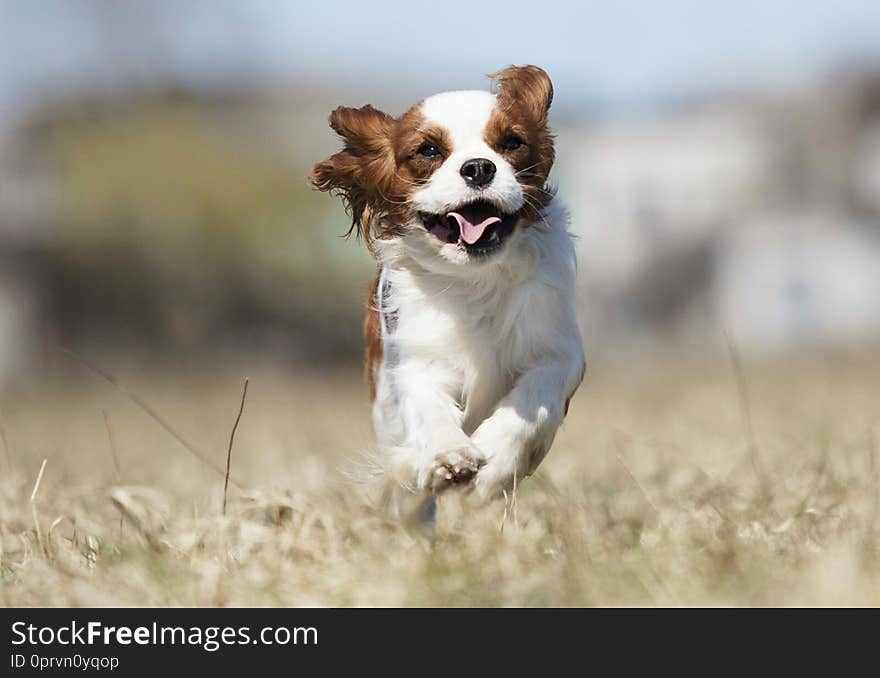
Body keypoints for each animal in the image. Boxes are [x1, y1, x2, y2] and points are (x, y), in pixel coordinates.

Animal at [310, 66, 584, 502]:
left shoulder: (558, 350)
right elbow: (430, 406)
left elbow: (535, 399)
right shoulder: (417, 360)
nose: (479, 167)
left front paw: (497, 462)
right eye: (428, 151)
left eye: (512, 143)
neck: (476, 279)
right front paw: (449, 455)